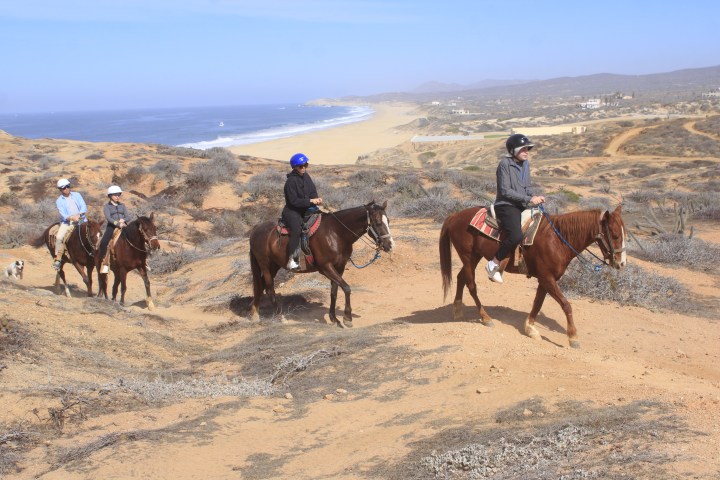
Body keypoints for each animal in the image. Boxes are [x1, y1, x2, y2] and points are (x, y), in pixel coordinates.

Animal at [248, 201, 394, 327]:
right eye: (378, 222)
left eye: (388, 221)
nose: (390, 245)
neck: (336, 233)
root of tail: (255, 230)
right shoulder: (326, 267)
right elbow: (346, 288)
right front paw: (347, 318)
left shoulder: (339, 267)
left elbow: (334, 292)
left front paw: (334, 318)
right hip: (265, 264)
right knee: (269, 288)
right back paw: (280, 317)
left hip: (274, 265)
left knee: (261, 286)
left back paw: (255, 314)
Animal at [439, 205, 627, 348]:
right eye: (615, 235)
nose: (622, 263)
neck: (558, 240)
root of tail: (455, 216)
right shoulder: (547, 278)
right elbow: (566, 305)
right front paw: (573, 337)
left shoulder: (546, 279)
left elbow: (538, 303)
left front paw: (530, 328)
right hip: (467, 256)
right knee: (471, 285)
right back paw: (485, 317)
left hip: (474, 257)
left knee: (461, 278)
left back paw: (457, 311)